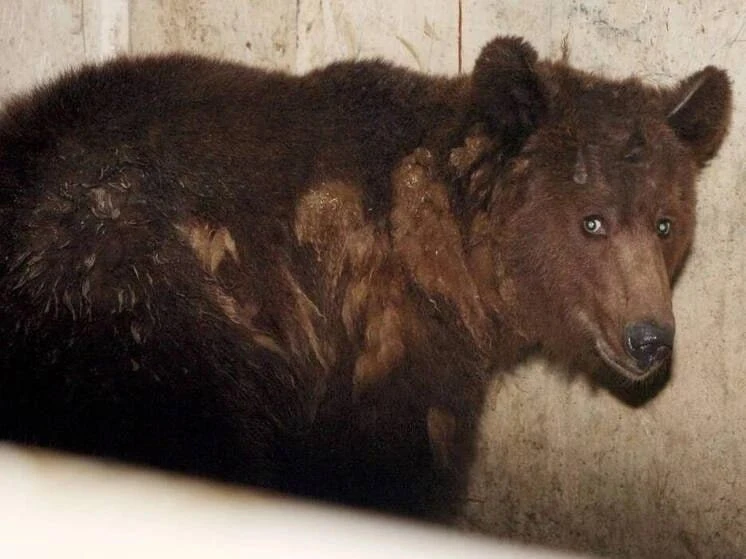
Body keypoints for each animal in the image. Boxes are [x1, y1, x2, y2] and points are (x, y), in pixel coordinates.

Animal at [0, 36, 732, 518]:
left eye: (665, 223)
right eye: (592, 221)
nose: (649, 337)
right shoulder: (382, 339)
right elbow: (390, 466)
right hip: (148, 318)